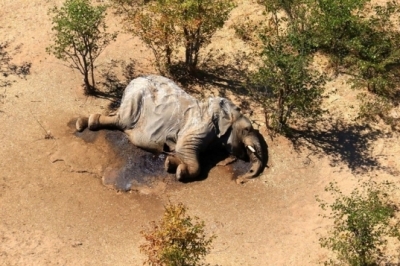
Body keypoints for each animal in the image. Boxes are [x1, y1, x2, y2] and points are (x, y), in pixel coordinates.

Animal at [76, 75, 268, 183]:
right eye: (247, 129)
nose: (241, 180)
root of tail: (133, 81)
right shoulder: (200, 126)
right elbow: (185, 148)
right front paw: (180, 172)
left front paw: (170, 163)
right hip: (135, 99)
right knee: (121, 121)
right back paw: (84, 124)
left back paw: (83, 123)